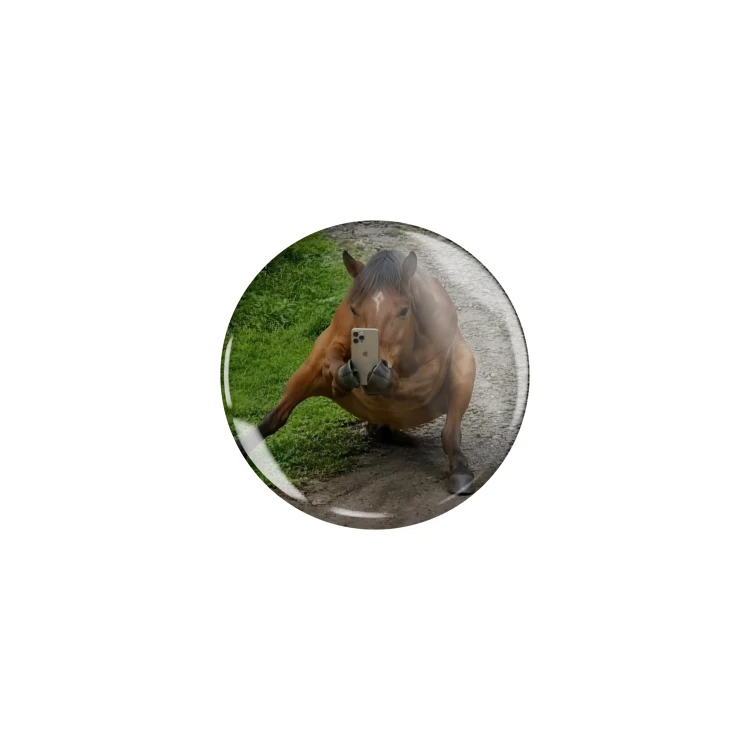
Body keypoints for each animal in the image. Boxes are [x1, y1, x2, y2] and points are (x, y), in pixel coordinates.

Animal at [257, 249, 477, 494]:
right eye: (354, 309)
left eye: (404, 310)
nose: (372, 365)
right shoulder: (336, 337)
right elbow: (332, 353)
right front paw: (343, 376)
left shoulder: (437, 360)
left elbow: (422, 382)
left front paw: (384, 379)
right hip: (306, 374)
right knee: (275, 418)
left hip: (464, 367)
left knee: (449, 432)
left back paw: (459, 470)